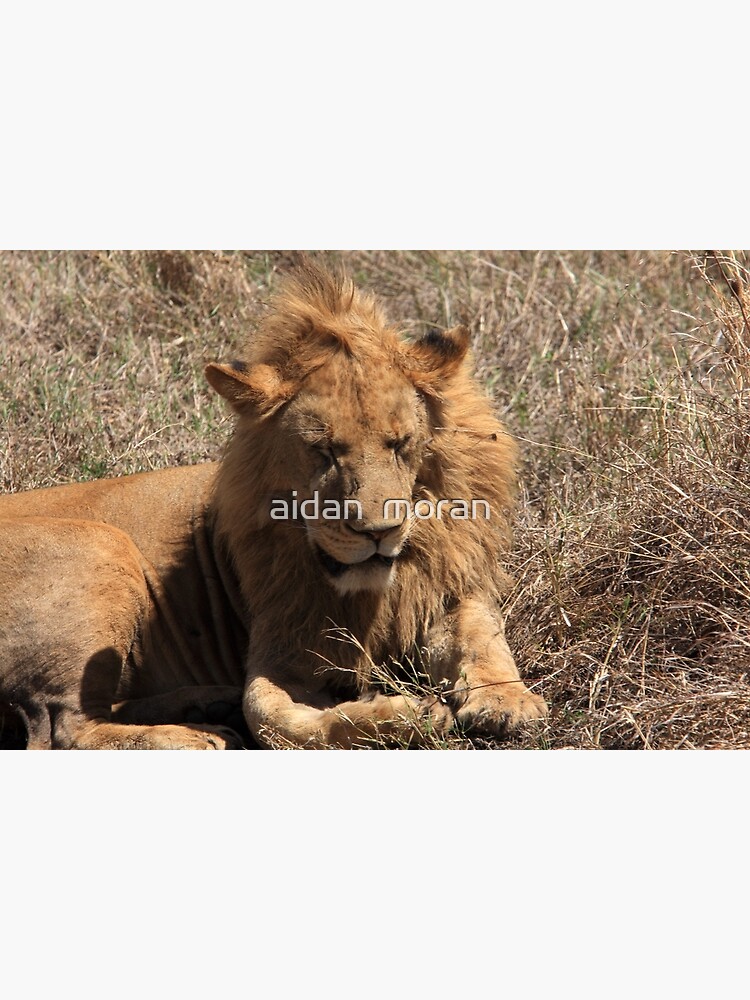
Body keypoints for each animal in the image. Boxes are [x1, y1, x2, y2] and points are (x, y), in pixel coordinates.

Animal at [1, 262, 552, 748]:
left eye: (400, 443)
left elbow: (482, 636)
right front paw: (400, 717)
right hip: (100, 542)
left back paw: (206, 705)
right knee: (63, 730)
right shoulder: (283, 642)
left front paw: (507, 702)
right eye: (324, 451)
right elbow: (266, 714)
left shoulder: (446, 585)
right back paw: (194, 737)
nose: (378, 532)